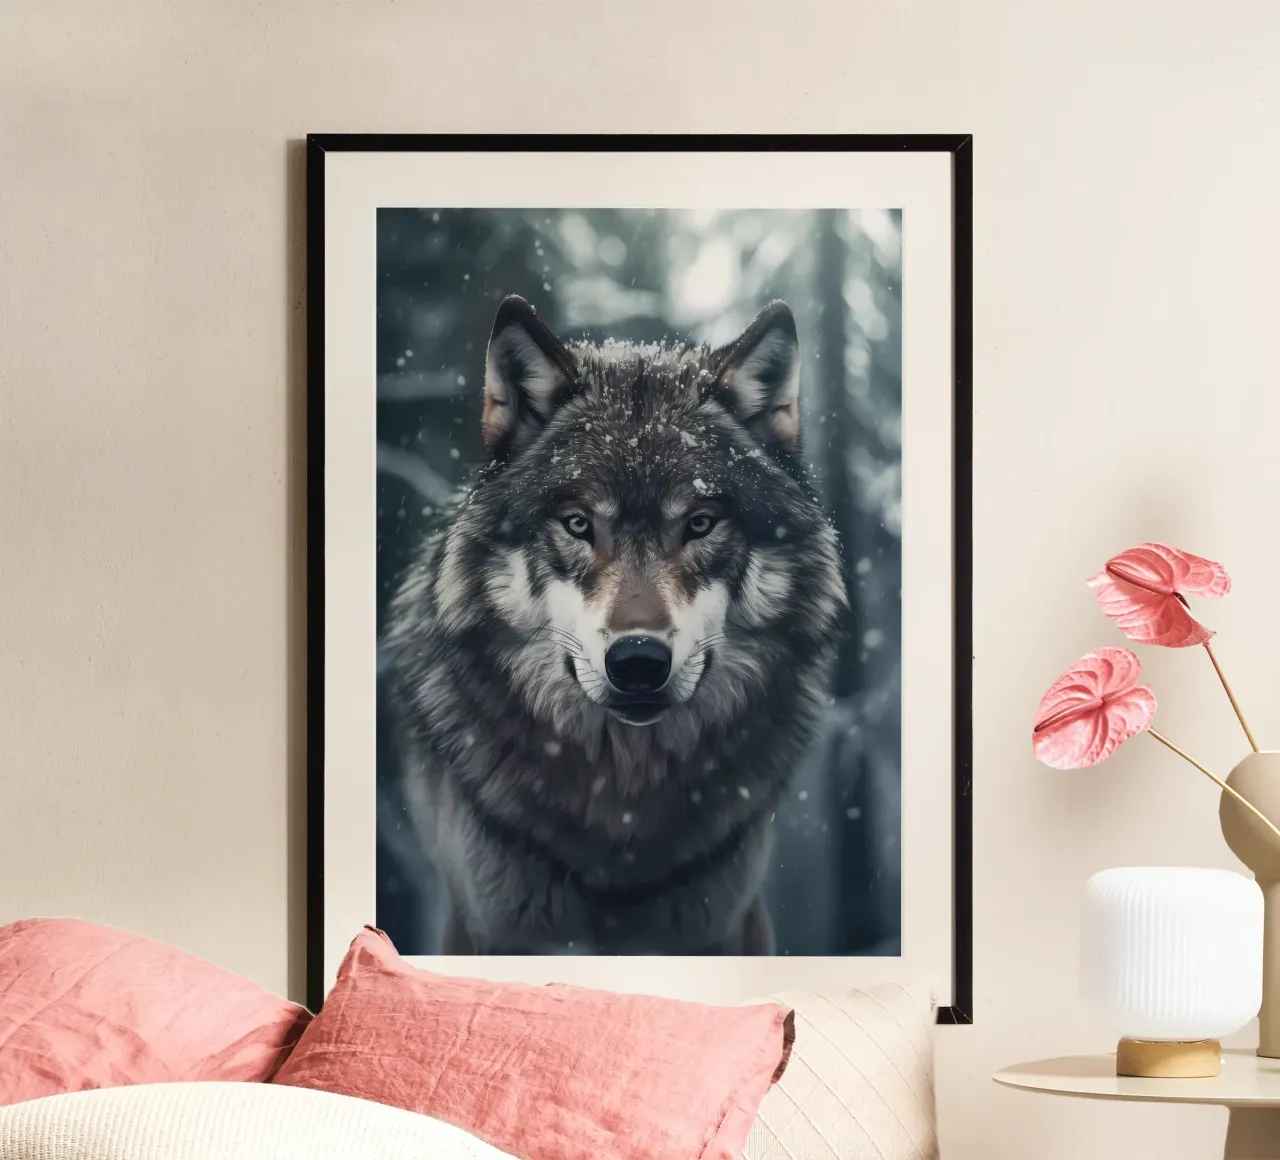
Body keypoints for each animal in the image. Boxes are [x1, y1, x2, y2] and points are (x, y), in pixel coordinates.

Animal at [380, 295, 849, 955]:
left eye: (700, 523)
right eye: (579, 524)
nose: (638, 661)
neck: (622, 811)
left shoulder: (725, 922)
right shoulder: (488, 925)